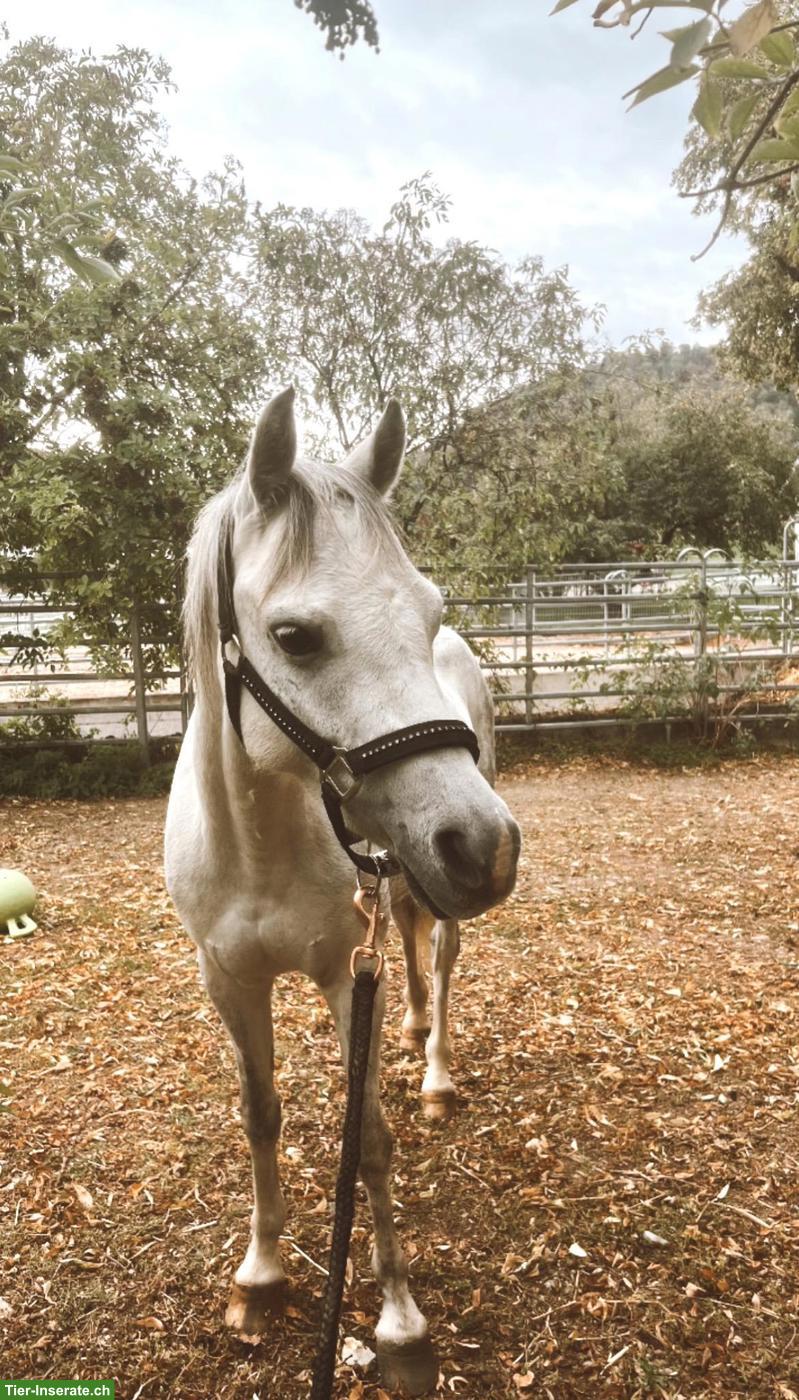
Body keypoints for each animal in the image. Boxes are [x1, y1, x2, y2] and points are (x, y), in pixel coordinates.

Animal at [164, 386, 520, 1395]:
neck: (260, 843)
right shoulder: (228, 979)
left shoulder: (335, 975)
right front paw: (262, 1275)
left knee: (441, 957)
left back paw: (434, 1069)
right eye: (294, 636)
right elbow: (259, 1114)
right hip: (402, 875)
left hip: (428, 893)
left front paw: (400, 1321)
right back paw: (411, 1028)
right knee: (405, 935)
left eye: (426, 610)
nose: (483, 847)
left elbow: (369, 1141)